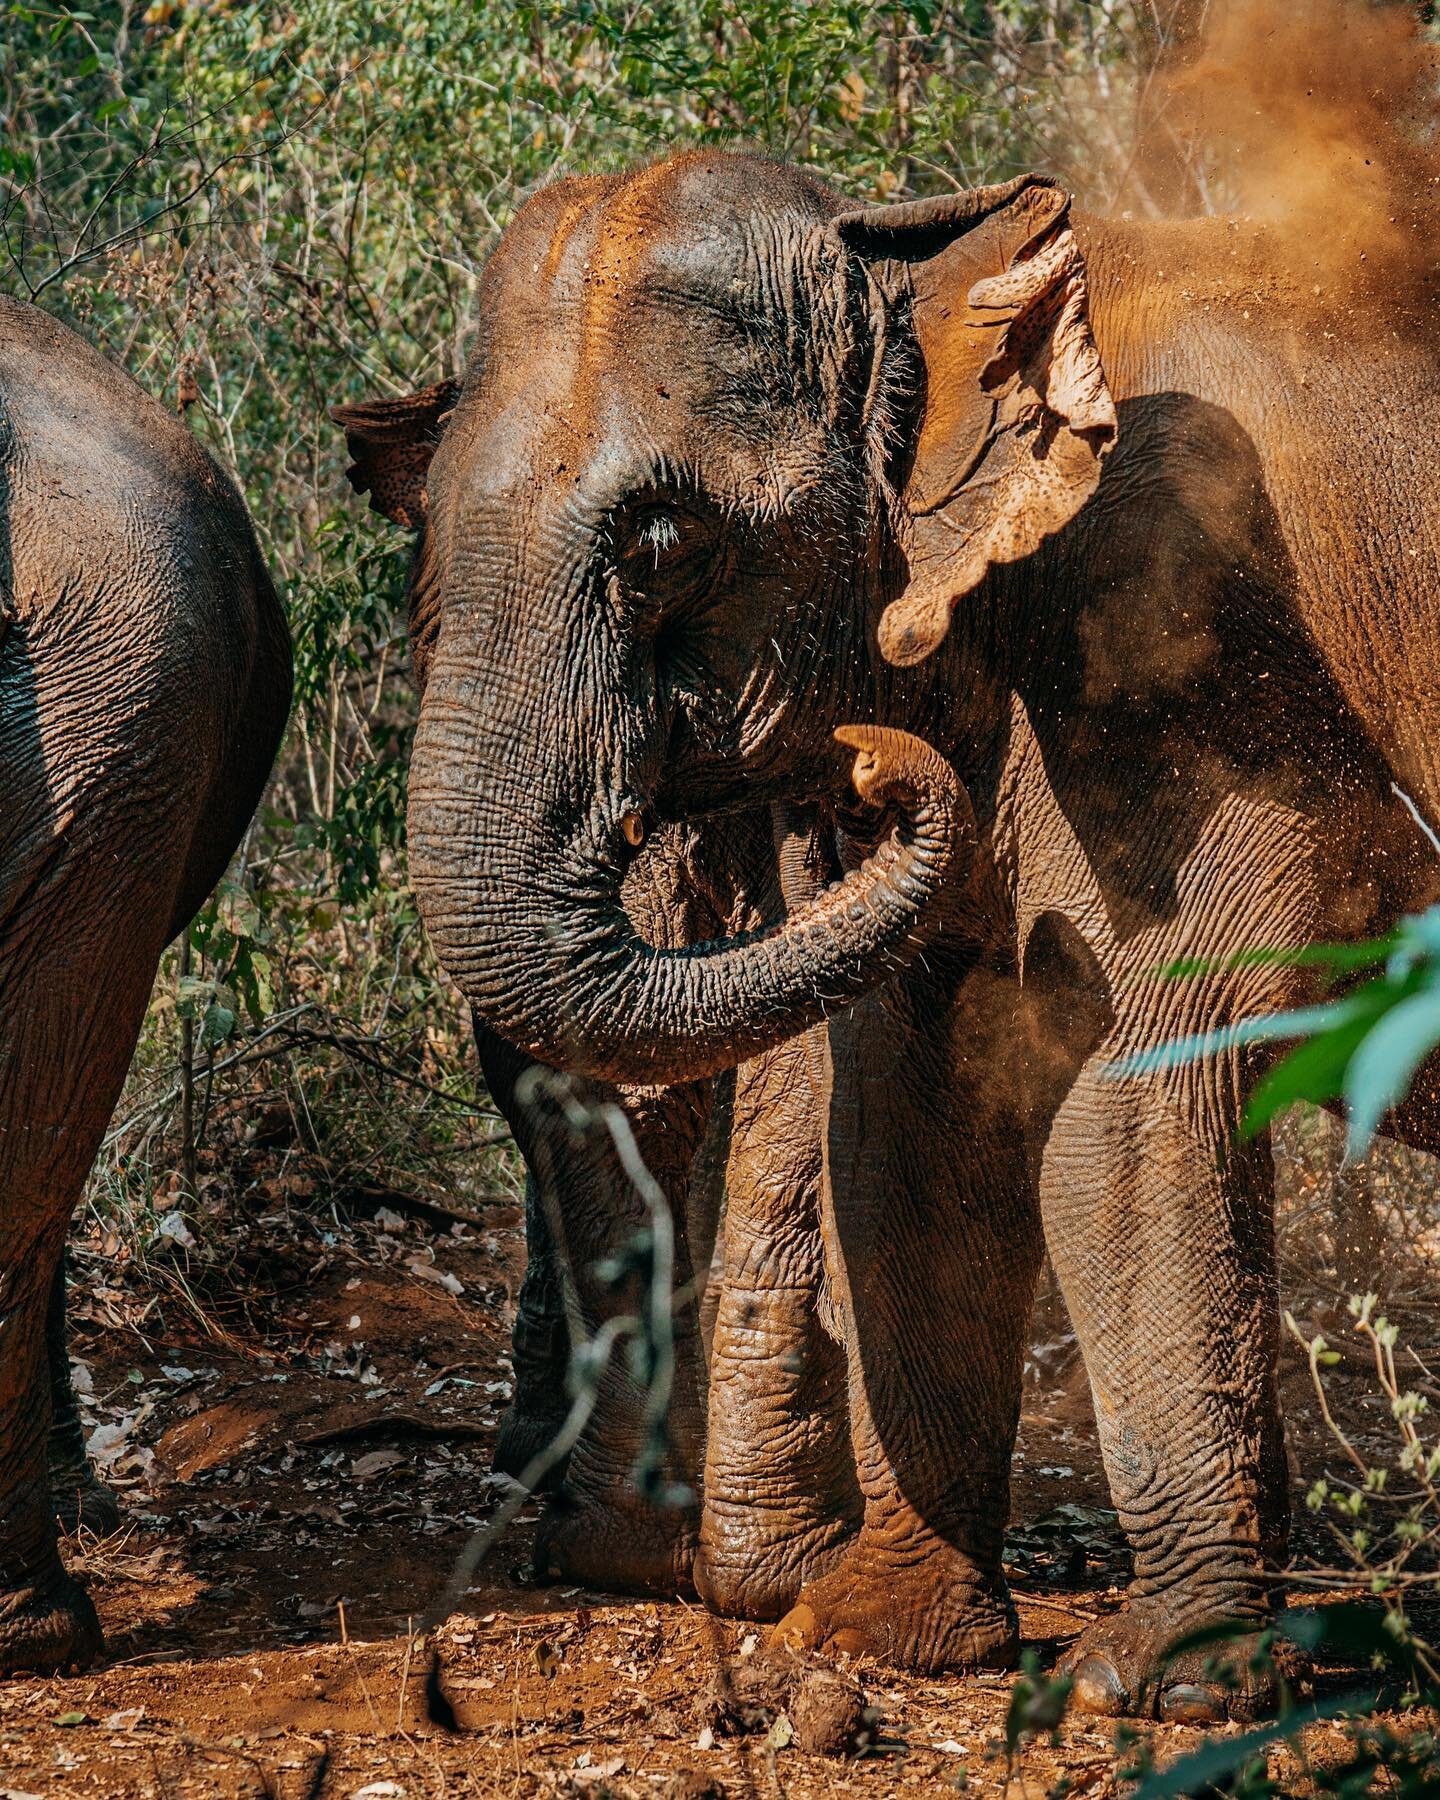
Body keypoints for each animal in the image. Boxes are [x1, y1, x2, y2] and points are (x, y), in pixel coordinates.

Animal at [331, 158, 1440, 1728]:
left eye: (662, 545)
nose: (867, 762)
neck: (920, 253)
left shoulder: (1187, 636)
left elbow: (1132, 1109)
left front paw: (1156, 1687)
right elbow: (911, 1112)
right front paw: (871, 1636)